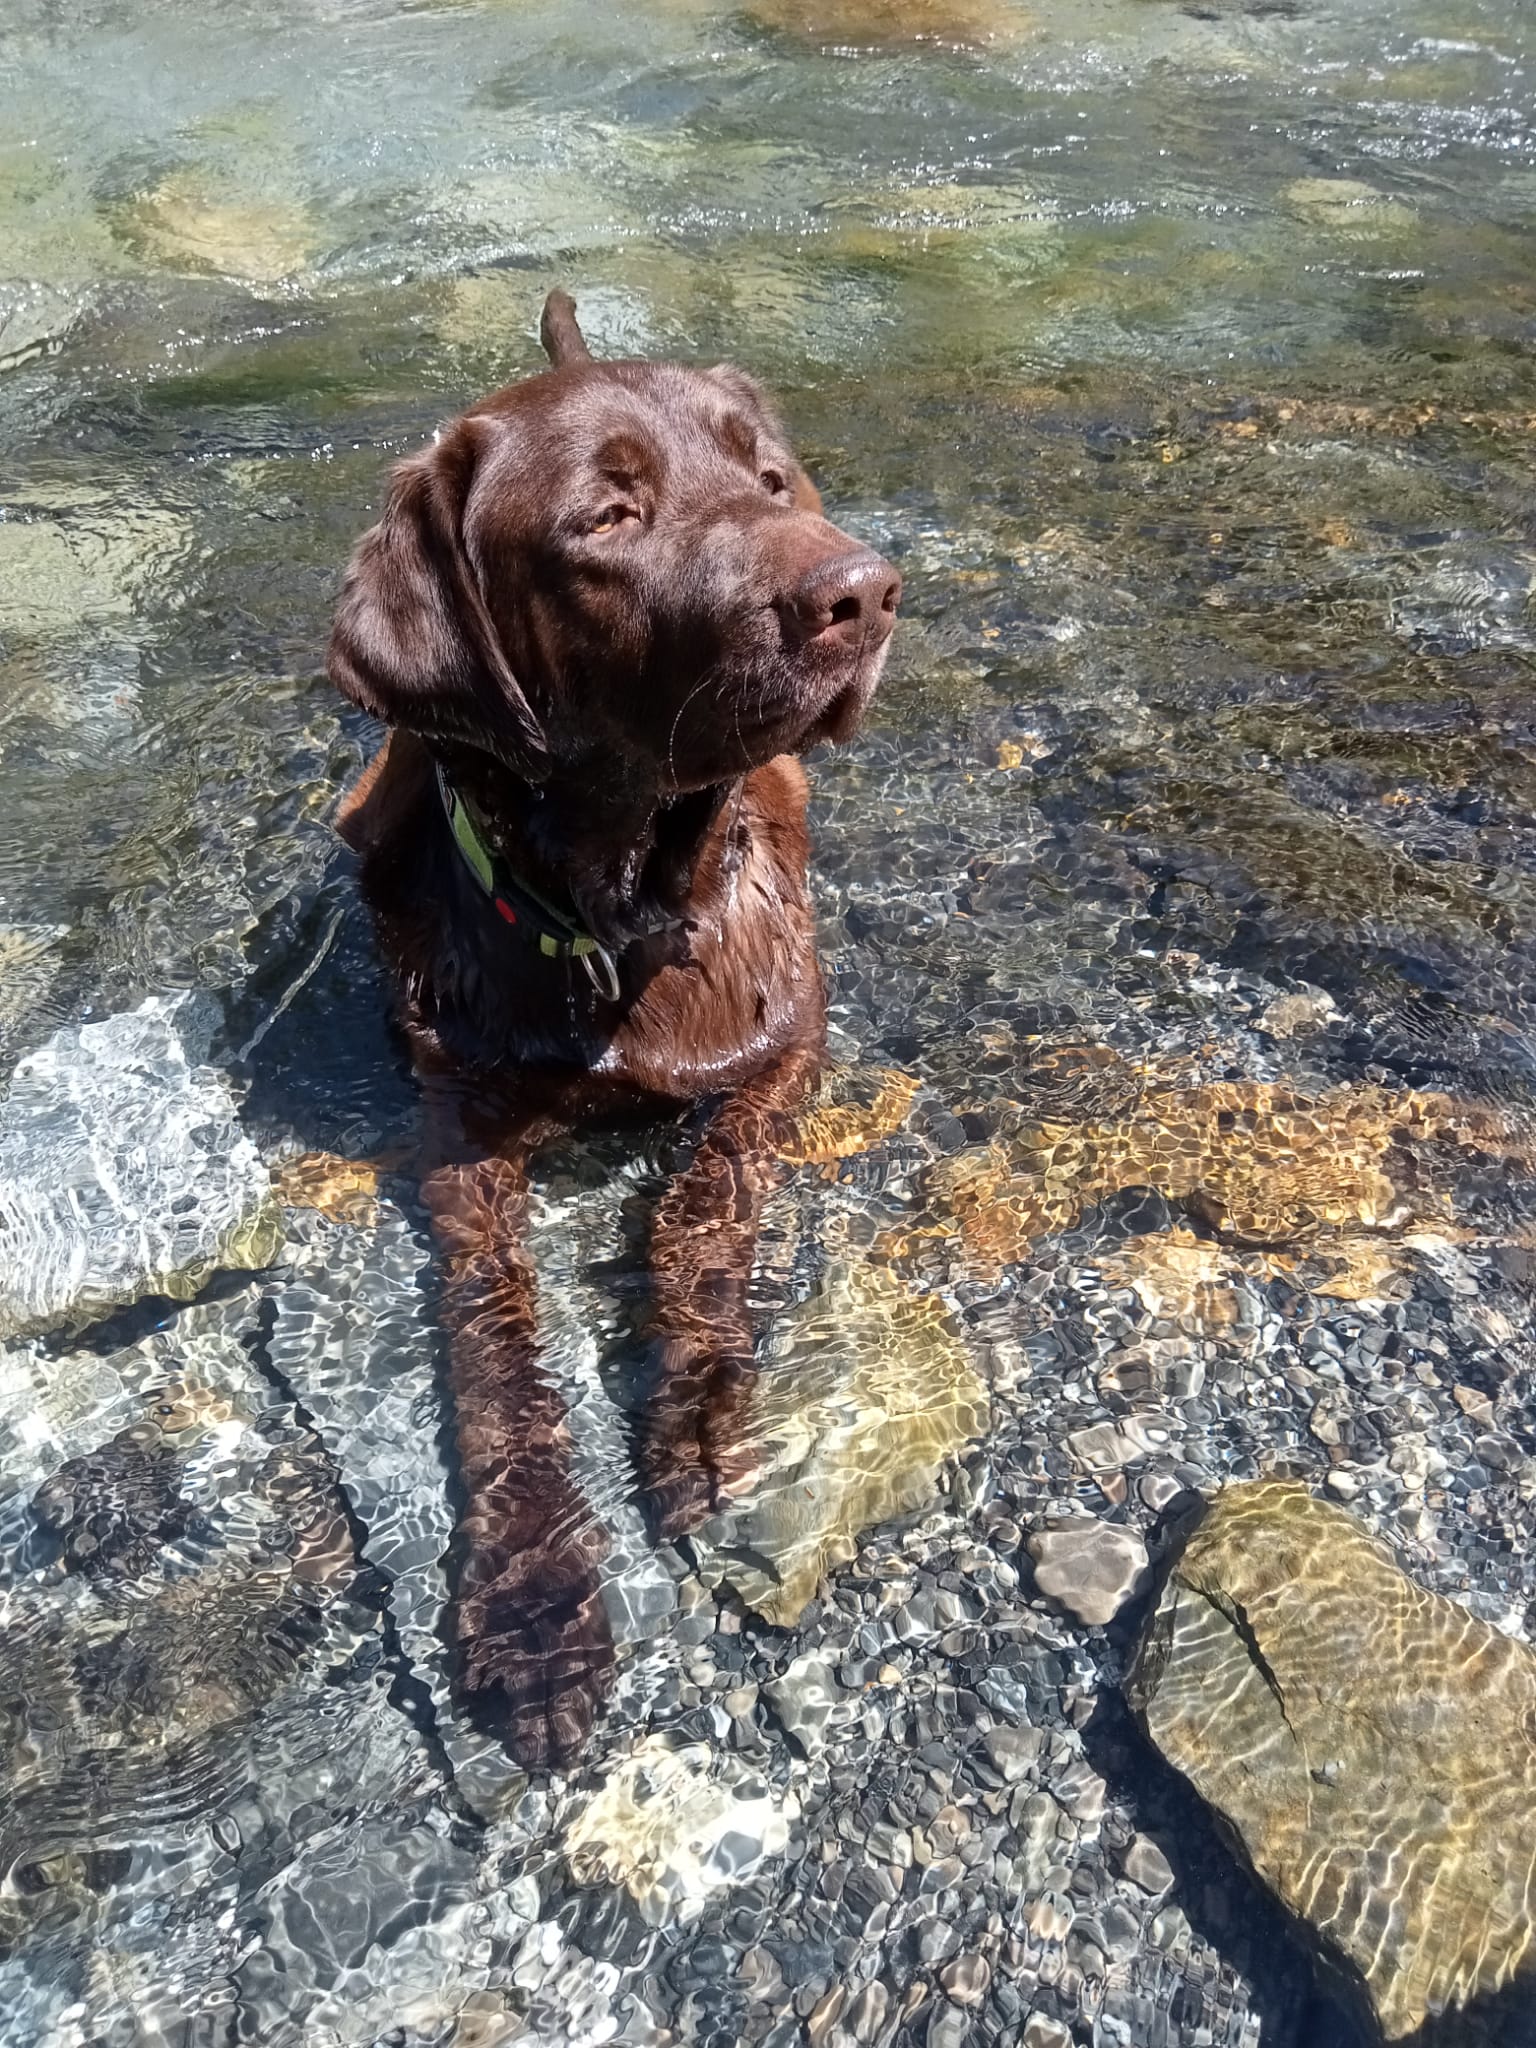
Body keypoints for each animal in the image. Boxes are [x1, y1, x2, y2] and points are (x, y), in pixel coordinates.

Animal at [325, 288, 901, 1761]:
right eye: (606, 518)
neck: (620, 917)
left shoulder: (786, 1051)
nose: (865, 593)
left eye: (768, 480)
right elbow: (493, 1355)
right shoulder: (457, 1129)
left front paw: (696, 1414)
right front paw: (534, 1600)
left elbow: (703, 1206)